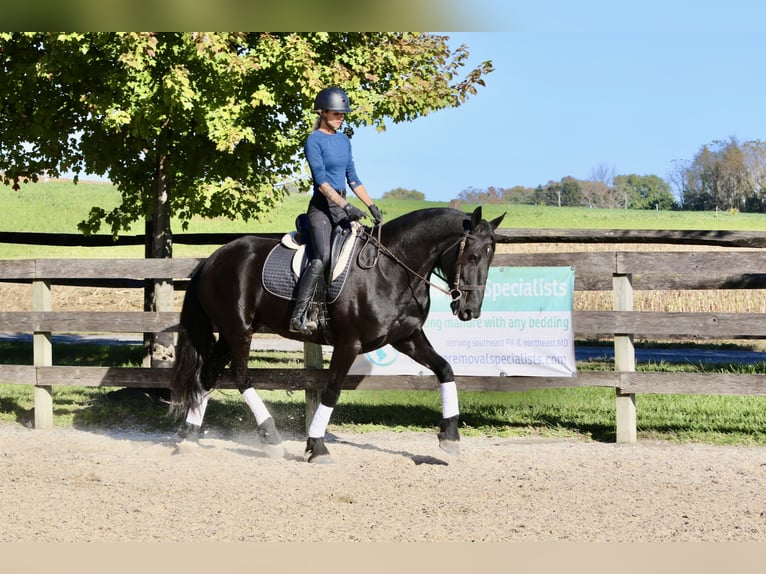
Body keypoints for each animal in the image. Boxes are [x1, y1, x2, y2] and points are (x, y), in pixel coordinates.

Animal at [170, 206, 505, 463]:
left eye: (491, 257)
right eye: (472, 256)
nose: (470, 310)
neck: (391, 269)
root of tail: (212, 259)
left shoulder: (406, 338)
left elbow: (445, 370)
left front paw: (450, 437)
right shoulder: (349, 343)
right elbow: (331, 391)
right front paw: (316, 447)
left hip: (230, 332)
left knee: (209, 375)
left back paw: (189, 437)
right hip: (239, 330)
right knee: (240, 376)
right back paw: (271, 438)